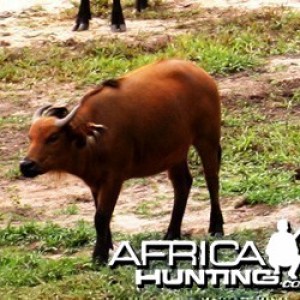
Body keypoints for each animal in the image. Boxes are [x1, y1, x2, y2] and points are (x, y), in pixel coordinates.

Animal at [19, 59, 223, 264]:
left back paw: (216, 227)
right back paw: (172, 233)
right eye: (30, 137)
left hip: (207, 139)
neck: (93, 140)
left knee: (212, 180)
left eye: (53, 137)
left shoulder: (113, 179)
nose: (26, 165)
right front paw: (107, 246)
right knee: (182, 185)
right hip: (176, 153)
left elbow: (101, 216)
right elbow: (100, 214)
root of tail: (200, 72)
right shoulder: (95, 181)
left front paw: (99, 255)